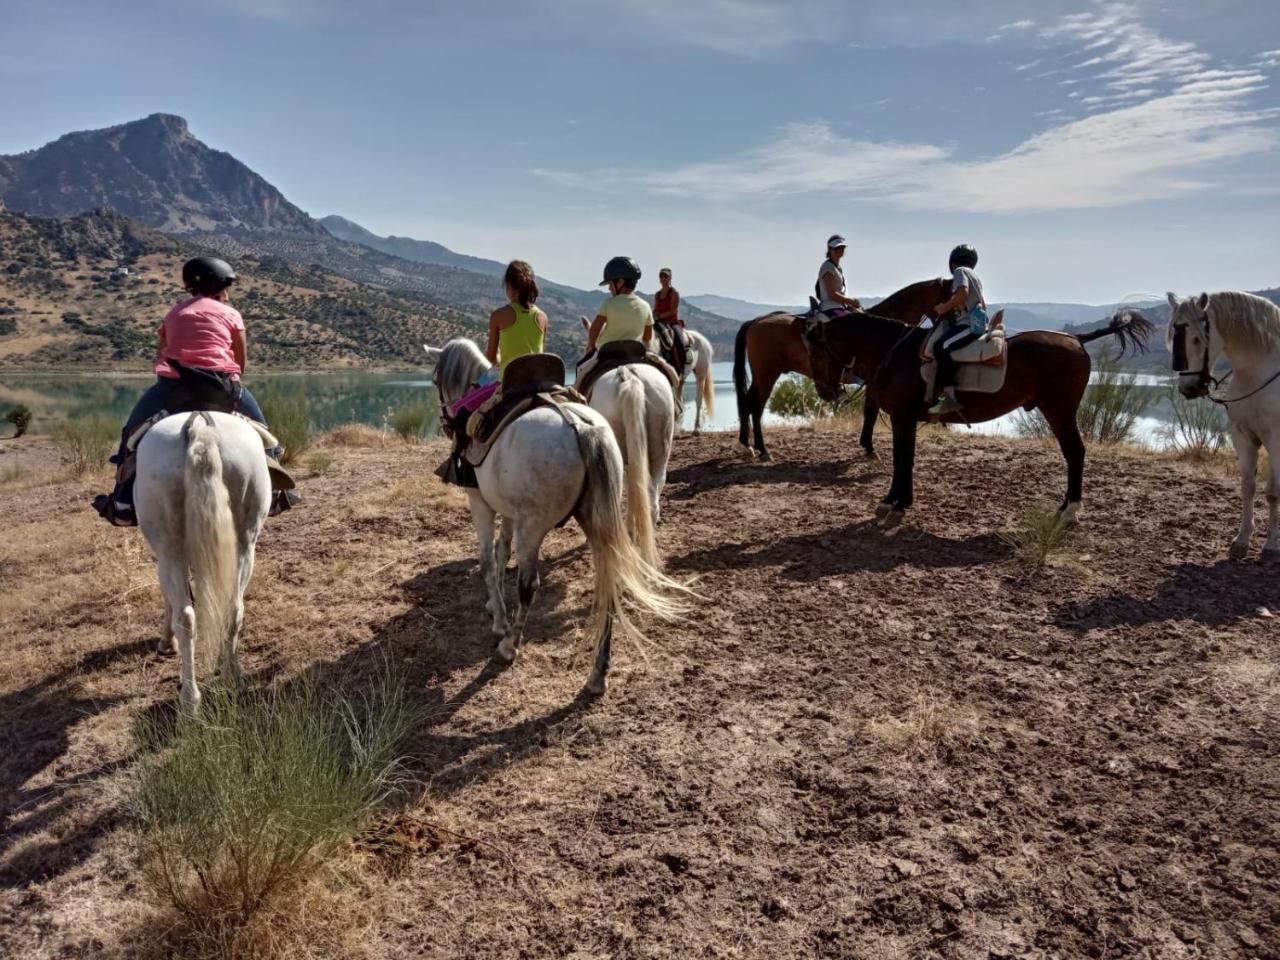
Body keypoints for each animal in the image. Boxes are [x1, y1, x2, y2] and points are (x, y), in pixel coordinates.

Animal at [135, 414, 270, 716]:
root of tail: (198, 424)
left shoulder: (166, 555)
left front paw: (166, 641)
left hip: (170, 549)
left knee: (186, 617)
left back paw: (190, 699)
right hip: (245, 544)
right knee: (233, 608)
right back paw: (233, 679)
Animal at [422, 343, 686, 696]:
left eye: (435, 378)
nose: (444, 420)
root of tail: (585, 429)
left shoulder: (481, 503)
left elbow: (488, 559)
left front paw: (500, 621)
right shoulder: (510, 512)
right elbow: (502, 550)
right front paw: (495, 604)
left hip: (534, 528)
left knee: (529, 585)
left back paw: (509, 647)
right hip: (601, 514)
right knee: (611, 575)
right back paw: (598, 673)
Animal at [732, 277, 952, 463]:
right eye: (949, 295)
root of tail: (755, 322)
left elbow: (870, 411)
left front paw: (866, 446)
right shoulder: (872, 380)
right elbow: (870, 411)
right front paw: (869, 448)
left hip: (761, 376)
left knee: (747, 403)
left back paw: (748, 444)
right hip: (767, 375)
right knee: (756, 407)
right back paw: (763, 449)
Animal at [803, 309, 1157, 527]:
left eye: (815, 353)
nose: (825, 392)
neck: (894, 351)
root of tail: (1077, 339)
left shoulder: (904, 419)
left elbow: (903, 460)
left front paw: (896, 503)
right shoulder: (906, 421)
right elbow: (904, 459)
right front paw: (898, 500)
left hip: (1060, 411)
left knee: (1075, 453)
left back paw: (1069, 511)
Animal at [1172, 293, 1280, 563]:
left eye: (1197, 338)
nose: (1188, 389)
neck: (1257, 374)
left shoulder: (1276, 441)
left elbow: (1273, 491)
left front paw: (1271, 546)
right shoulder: (1243, 437)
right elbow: (1248, 487)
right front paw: (1241, 542)